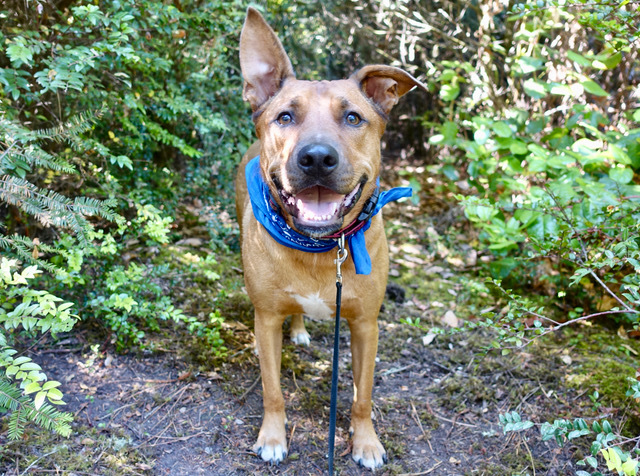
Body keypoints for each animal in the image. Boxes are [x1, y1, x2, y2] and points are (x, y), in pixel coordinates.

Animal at [235, 6, 424, 468]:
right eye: (285, 116)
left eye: (353, 117)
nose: (317, 158)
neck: (320, 247)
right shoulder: (266, 319)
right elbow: (272, 390)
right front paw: (273, 436)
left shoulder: (365, 325)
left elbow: (362, 395)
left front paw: (366, 441)